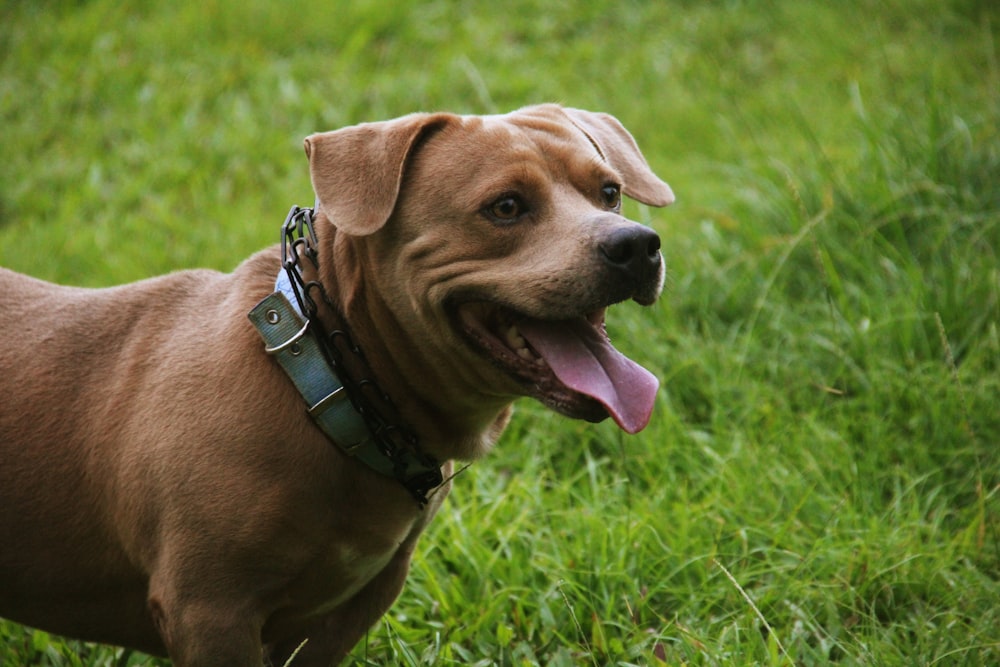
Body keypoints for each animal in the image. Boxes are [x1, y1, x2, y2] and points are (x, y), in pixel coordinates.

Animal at [0, 103, 676, 664]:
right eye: (505, 207)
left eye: (610, 192)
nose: (637, 244)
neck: (329, 377)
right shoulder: (209, 611)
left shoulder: (346, 608)